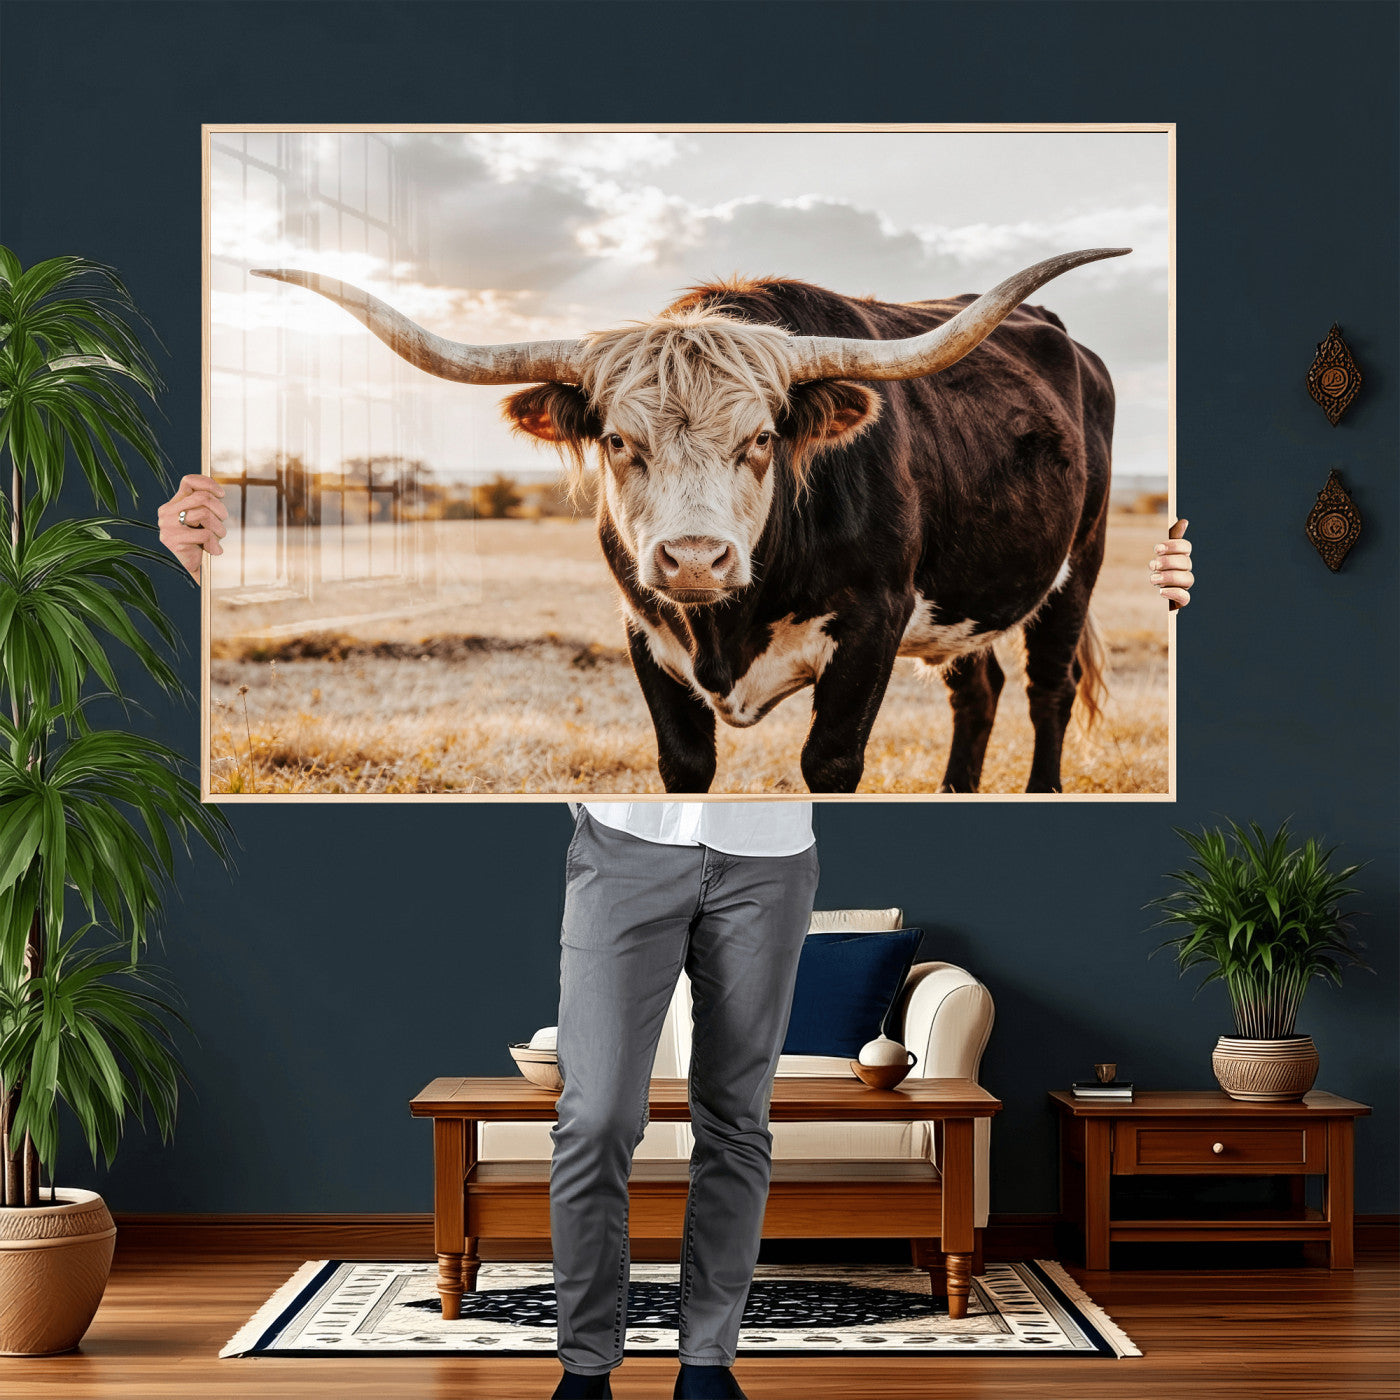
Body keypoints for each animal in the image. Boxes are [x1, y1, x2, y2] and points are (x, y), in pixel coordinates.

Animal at [252, 248, 1127, 793]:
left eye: (763, 439)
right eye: (617, 440)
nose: (697, 560)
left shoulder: (873, 625)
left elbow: (829, 760)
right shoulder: (645, 631)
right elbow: (684, 764)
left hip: (1077, 566)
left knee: (1048, 690)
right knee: (975, 689)